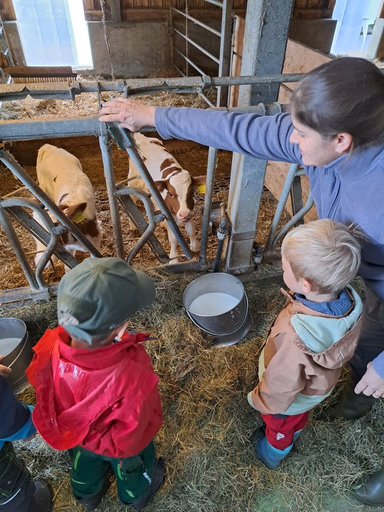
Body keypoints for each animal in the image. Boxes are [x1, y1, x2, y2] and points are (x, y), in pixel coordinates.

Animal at [128, 132, 206, 264]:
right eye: (170, 193)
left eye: (191, 193)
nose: (183, 214)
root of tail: (141, 136)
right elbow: (173, 238)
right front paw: (174, 258)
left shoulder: (189, 211)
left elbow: (191, 230)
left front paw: (195, 246)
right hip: (133, 181)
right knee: (132, 198)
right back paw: (133, 227)